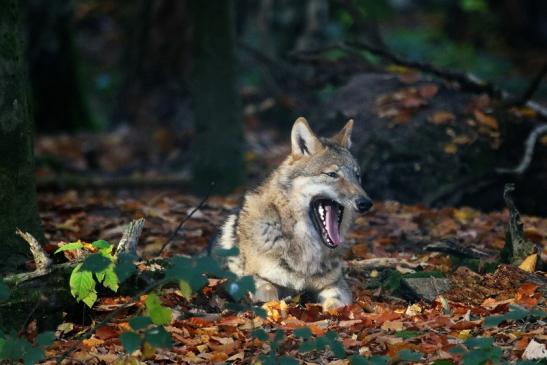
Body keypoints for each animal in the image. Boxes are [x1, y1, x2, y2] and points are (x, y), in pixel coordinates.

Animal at [213, 118, 372, 308]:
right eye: (332, 174)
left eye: (357, 176)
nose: (366, 203)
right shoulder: (251, 279)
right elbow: (268, 292)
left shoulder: (335, 284)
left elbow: (336, 303)